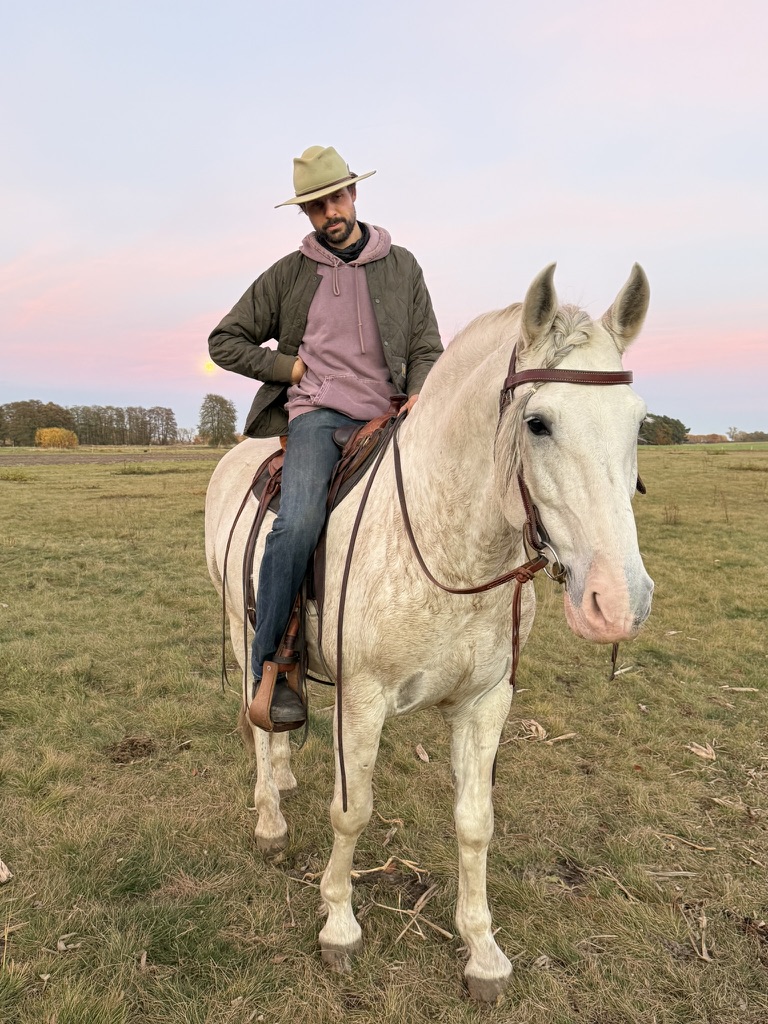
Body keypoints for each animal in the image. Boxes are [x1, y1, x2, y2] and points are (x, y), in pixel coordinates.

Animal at [204, 263, 654, 1001]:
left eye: (639, 424)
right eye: (538, 423)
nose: (617, 601)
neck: (453, 548)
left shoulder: (486, 702)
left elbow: (475, 824)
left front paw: (482, 951)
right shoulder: (361, 699)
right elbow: (352, 810)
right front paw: (339, 925)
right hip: (245, 636)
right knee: (258, 716)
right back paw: (270, 813)